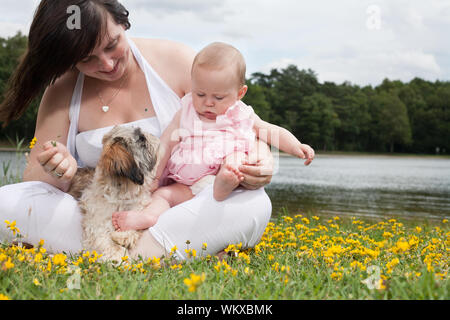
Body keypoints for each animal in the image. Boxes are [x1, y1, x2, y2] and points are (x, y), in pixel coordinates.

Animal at [69, 125, 161, 262]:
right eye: (142, 139)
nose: (156, 137)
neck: (123, 196)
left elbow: (135, 224)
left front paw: (124, 237)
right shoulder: (97, 229)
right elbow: (112, 246)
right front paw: (123, 260)